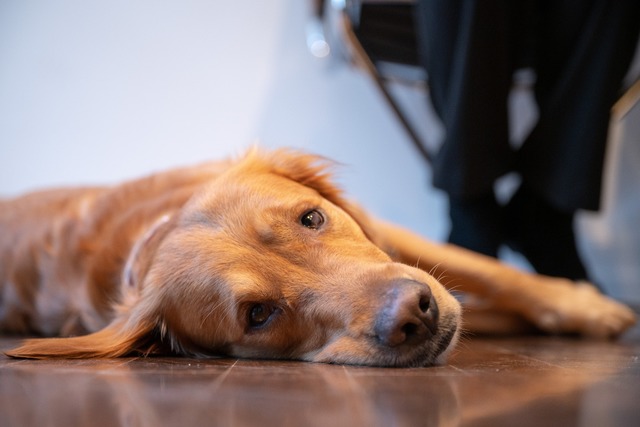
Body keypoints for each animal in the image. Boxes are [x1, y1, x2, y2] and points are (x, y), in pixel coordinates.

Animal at [0, 149, 636, 366]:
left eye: (312, 217)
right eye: (257, 315)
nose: (417, 312)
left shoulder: (392, 235)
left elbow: (489, 269)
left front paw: (585, 307)